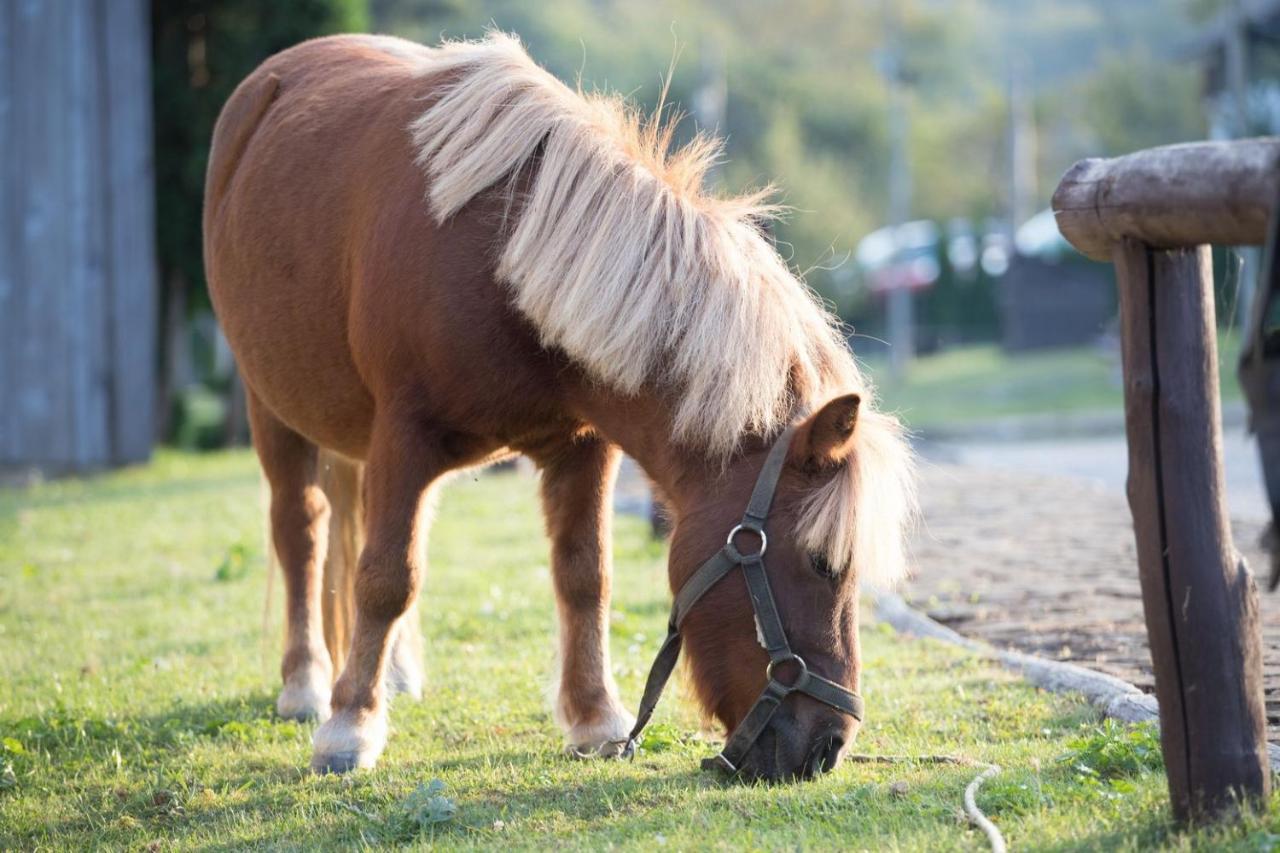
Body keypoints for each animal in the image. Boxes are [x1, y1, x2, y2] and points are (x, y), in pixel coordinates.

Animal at [204, 31, 916, 778]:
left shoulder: (581, 447)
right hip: (272, 409)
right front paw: (349, 726)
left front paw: (595, 717)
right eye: (821, 563)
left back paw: (391, 672)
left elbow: (584, 576)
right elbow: (386, 577)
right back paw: (308, 683)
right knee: (302, 532)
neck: (502, 263)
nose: (828, 744)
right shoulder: (404, 436)